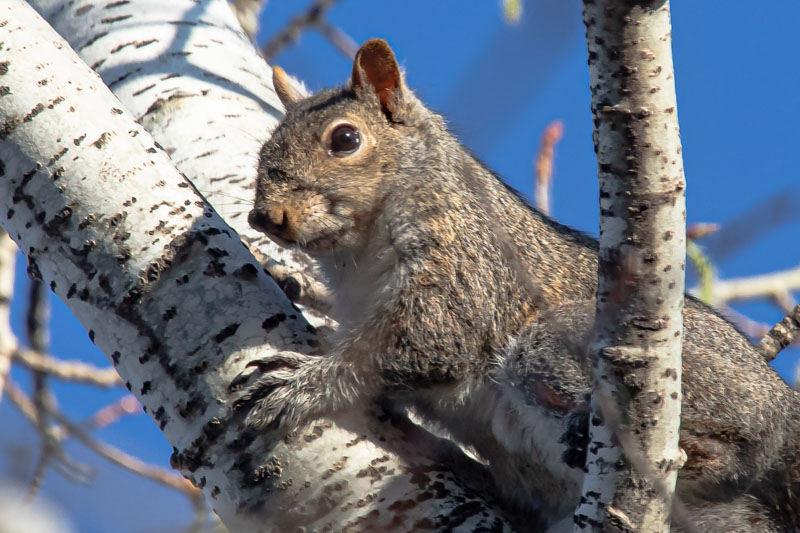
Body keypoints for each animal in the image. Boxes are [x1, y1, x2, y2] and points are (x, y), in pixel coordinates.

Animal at [238, 39, 800, 531]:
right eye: (264, 149)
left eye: (345, 139)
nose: (264, 216)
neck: (356, 253)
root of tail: (783, 408)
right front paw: (290, 280)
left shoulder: (468, 264)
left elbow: (419, 344)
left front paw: (300, 384)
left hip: (581, 347)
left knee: (732, 452)